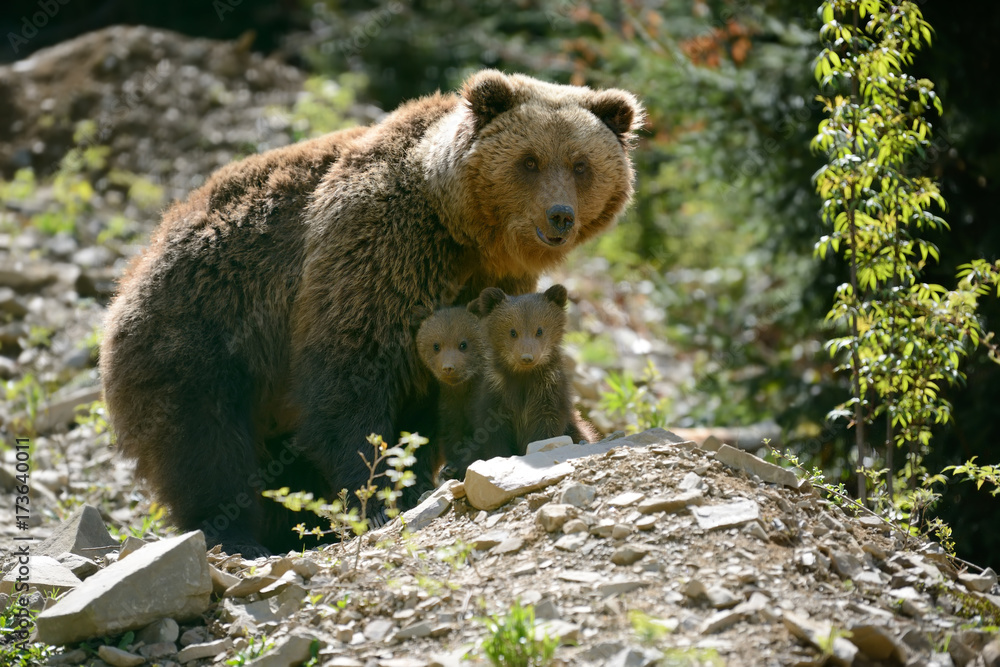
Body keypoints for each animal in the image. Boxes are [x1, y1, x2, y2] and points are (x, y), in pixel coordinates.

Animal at [101, 69, 644, 560]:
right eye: (529, 161)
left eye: (580, 164)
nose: (559, 215)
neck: (462, 233)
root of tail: (137, 263)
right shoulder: (376, 249)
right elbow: (350, 375)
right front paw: (383, 493)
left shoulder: (491, 285)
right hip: (203, 329)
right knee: (205, 442)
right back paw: (236, 535)